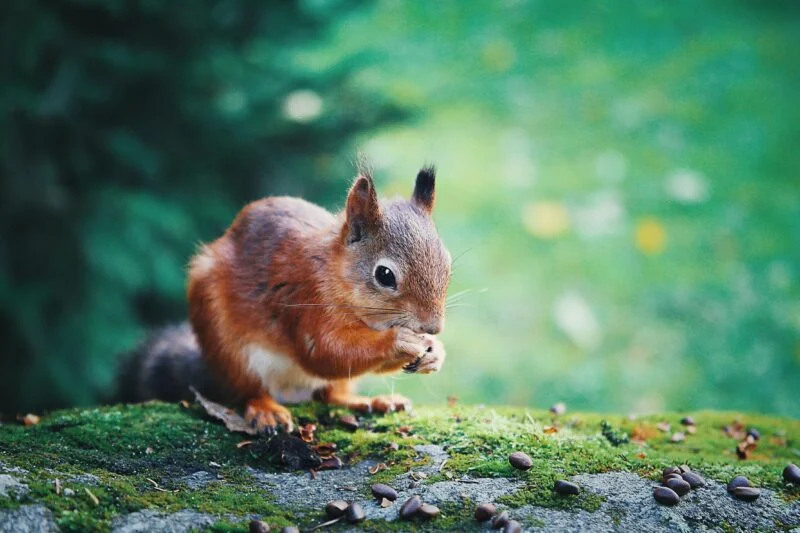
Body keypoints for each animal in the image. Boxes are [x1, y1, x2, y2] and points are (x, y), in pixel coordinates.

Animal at [117, 164, 451, 433]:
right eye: (384, 275)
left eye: (447, 263)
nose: (433, 327)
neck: (334, 271)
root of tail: (290, 391)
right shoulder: (306, 298)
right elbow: (325, 352)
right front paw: (399, 341)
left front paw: (435, 352)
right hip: (228, 347)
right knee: (249, 390)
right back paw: (267, 411)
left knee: (332, 394)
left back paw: (370, 401)